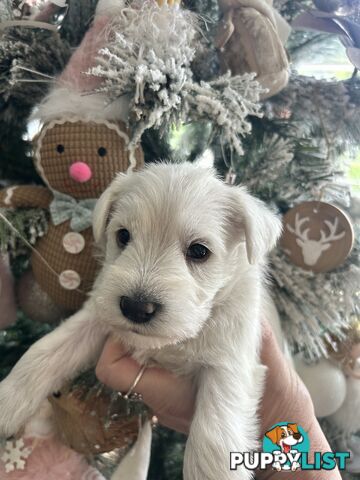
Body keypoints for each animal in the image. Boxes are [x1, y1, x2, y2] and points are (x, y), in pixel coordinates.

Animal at [0, 163, 282, 478]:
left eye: (199, 251)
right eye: (123, 235)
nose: (135, 307)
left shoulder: (229, 362)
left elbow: (213, 435)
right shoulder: (96, 315)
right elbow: (45, 351)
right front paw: (7, 401)